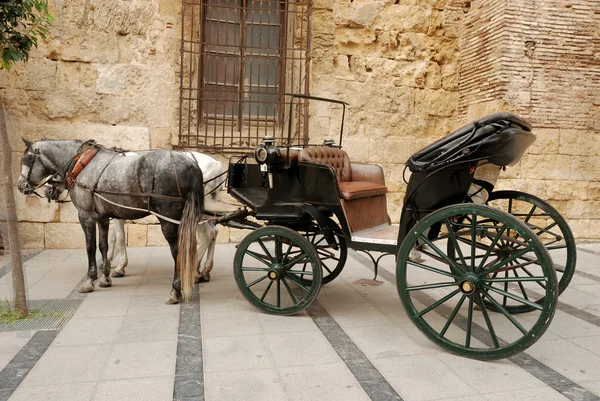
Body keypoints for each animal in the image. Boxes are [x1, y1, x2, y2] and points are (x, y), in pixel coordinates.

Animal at [17, 139, 204, 302]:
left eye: (27, 159)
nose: (21, 186)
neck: (82, 165)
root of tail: (192, 164)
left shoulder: (86, 216)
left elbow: (90, 247)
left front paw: (90, 280)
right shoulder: (103, 218)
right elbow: (103, 246)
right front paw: (105, 277)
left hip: (168, 219)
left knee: (178, 250)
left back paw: (175, 290)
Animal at [105, 152, 230, 282]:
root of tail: (215, 165)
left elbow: (120, 237)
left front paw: (120, 267)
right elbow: (114, 236)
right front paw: (109, 258)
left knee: (207, 234)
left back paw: (195, 271)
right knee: (214, 231)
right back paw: (206, 270)